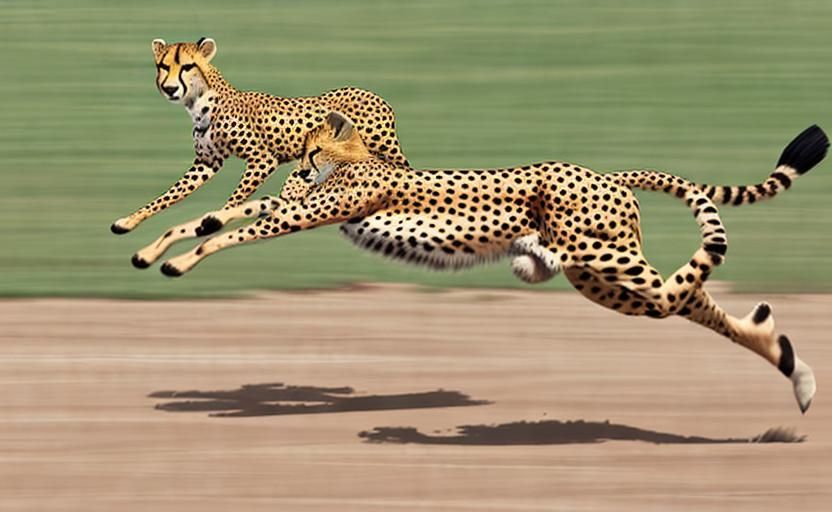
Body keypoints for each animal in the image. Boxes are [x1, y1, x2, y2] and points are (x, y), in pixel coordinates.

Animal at [111, 37, 409, 269]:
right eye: (163, 66)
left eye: (187, 66)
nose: (170, 88)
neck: (199, 101)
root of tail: (375, 95)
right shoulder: (206, 163)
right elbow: (167, 197)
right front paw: (128, 222)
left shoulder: (262, 160)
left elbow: (231, 202)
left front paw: (208, 225)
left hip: (385, 152)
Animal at [156, 112, 828, 413]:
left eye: (314, 146)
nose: (299, 162)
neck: (355, 159)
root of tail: (606, 172)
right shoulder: (302, 203)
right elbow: (228, 215)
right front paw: (156, 243)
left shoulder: (313, 209)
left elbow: (236, 230)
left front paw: (180, 262)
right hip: (604, 279)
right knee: (682, 298)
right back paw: (787, 360)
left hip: (604, 258)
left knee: (676, 286)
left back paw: (537, 256)